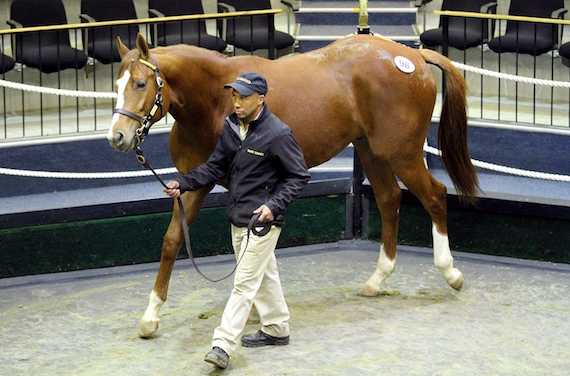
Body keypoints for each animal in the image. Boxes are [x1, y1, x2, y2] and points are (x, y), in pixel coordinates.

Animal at [108, 33, 478, 338]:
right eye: (117, 83)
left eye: (140, 83)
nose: (117, 137)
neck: (215, 100)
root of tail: (412, 57)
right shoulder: (193, 185)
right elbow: (173, 241)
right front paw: (151, 316)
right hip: (371, 152)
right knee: (389, 199)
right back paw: (376, 280)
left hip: (402, 154)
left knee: (435, 196)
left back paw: (451, 273)